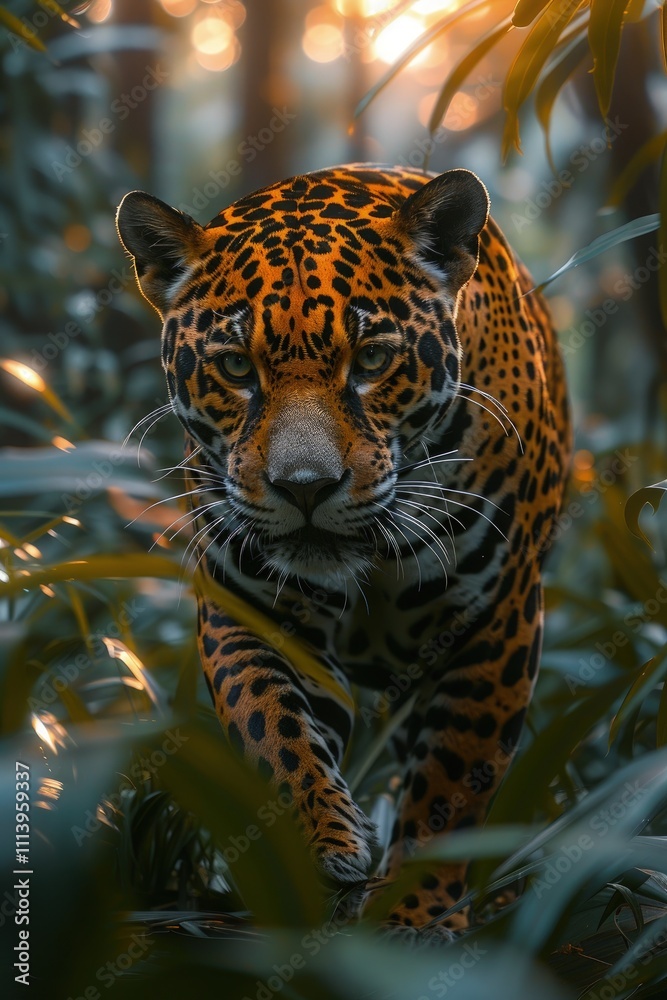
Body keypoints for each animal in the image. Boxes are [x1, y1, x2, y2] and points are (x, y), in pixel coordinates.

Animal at [116, 164, 571, 941]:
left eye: (373, 360)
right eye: (236, 367)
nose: (305, 486)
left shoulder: (495, 623)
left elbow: (453, 780)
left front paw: (415, 913)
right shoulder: (250, 608)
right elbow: (270, 727)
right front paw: (326, 848)